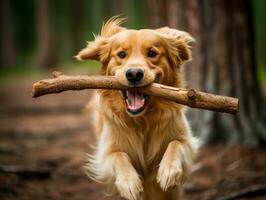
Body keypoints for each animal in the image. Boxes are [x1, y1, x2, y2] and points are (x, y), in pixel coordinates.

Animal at [76, 17, 198, 200]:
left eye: (152, 53)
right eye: (121, 54)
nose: (134, 74)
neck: (142, 120)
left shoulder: (188, 142)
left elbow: (176, 143)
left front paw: (168, 171)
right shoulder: (106, 151)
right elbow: (118, 155)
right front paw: (129, 182)